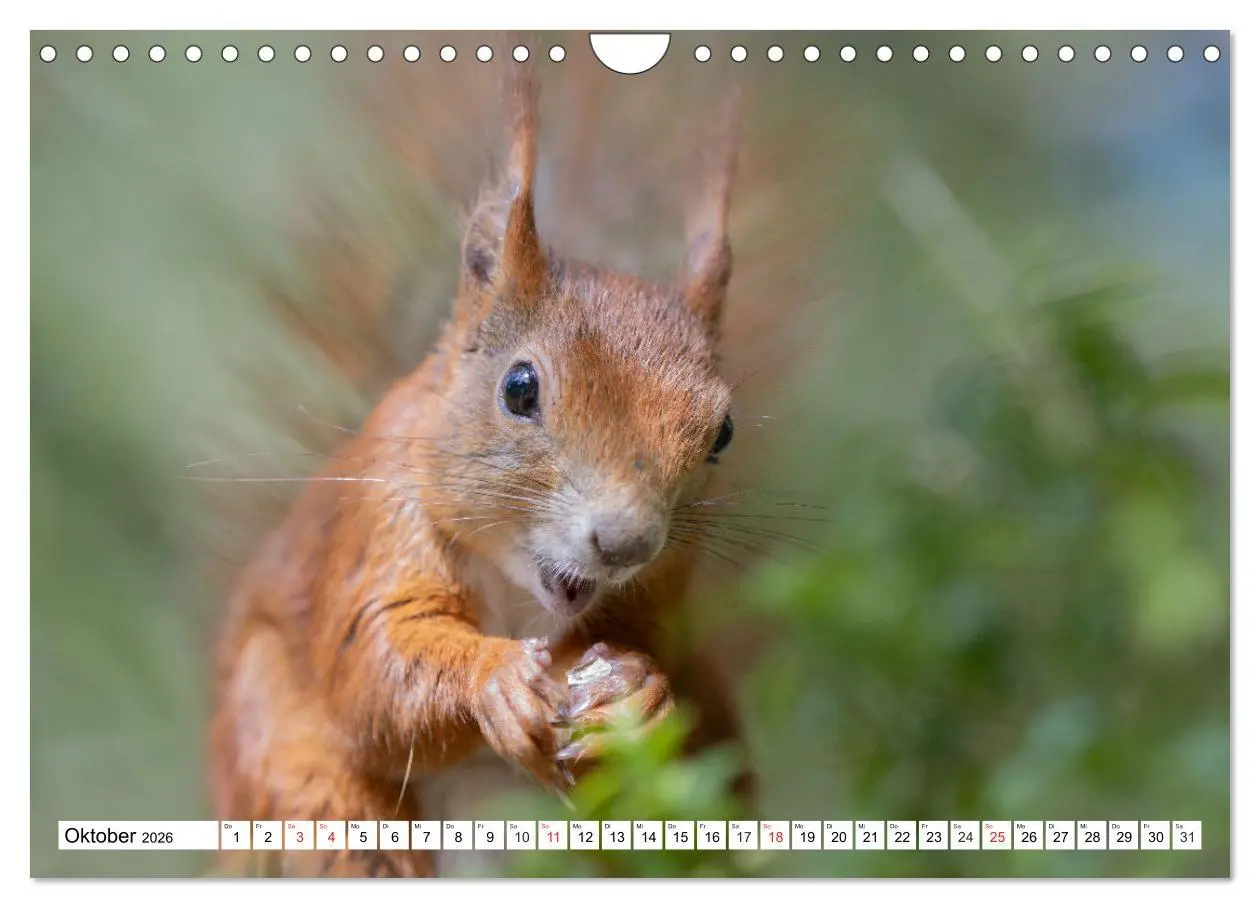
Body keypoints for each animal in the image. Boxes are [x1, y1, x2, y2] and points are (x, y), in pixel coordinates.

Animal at [208, 65, 747, 878]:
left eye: (723, 433)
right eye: (519, 388)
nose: (625, 544)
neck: (519, 589)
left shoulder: (662, 592)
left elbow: (658, 658)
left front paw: (638, 690)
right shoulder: (380, 528)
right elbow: (378, 664)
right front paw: (494, 679)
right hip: (299, 779)